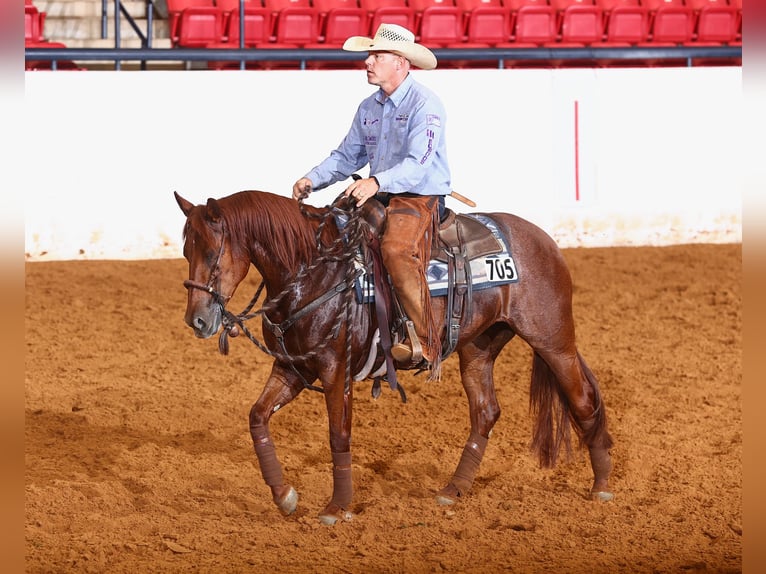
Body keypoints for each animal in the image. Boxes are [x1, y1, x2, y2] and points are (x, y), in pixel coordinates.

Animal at [174, 189, 614, 525]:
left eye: (213, 253)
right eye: (185, 250)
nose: (197, 320)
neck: (316, 273)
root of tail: (544, 239)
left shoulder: (335, 369)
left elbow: (339, 435)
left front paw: (337, 507)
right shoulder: (292, 368)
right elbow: (257, 417)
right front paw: (284, 496)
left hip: (553, 341)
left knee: (583, 400)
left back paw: (602, 487)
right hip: (478, 348)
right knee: (486, 412)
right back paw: (453, 489)